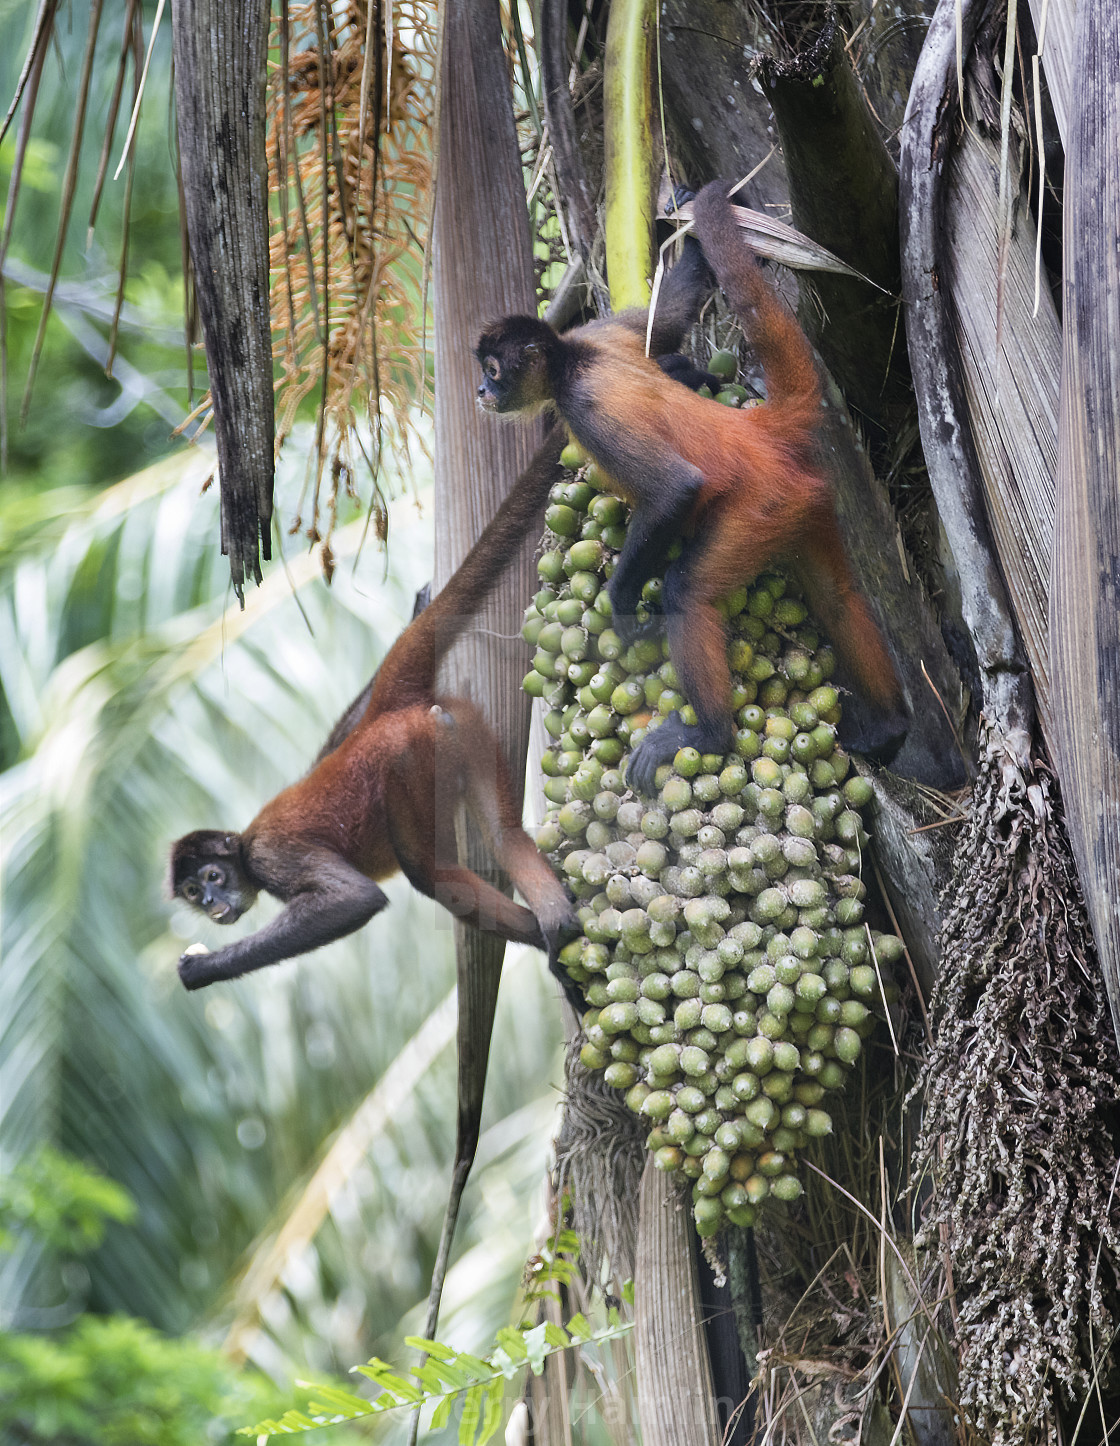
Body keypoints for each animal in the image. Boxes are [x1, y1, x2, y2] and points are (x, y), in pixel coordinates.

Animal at [176, 428, 583, 994]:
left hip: (409, 760)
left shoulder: (271, 855)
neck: (243, 848)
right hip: (462, 731)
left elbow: (354, 901)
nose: (213, 903)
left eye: (213, 878)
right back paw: (559, 926)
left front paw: (201, 969)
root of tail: (390, 712)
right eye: (193, 893)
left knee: (434, 878)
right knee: (505, 834)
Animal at [474, 177, 913, 803]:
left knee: (688, 589)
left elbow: (675, 491)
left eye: (494, 369)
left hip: (760, 506)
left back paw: (710, 734)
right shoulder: (599, 330)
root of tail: (755, 431)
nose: (481, 392)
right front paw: (694, 203)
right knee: (838, 597)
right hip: (806, 498)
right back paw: (891, 727)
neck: (573, 359)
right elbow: (674, 315)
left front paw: (622, 606)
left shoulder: (585, 404)